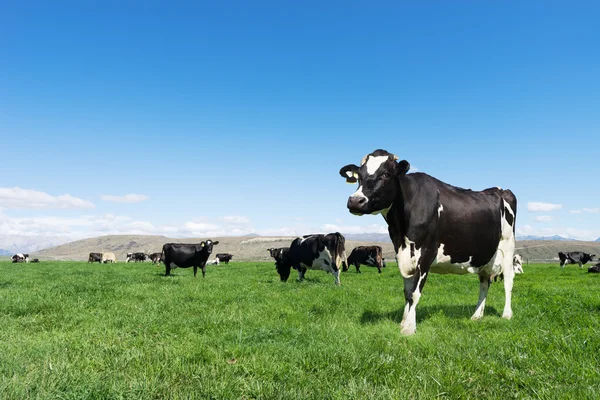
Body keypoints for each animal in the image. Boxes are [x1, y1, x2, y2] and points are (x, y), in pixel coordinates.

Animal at [340, 149, 516, 334]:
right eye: (359, 176)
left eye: (386, 174)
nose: (355, 201)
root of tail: (499, 189)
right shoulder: (401, 253)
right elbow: (407, 292)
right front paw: (404, 322)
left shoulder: (426, 253)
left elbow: (414, 293)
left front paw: (409, 328)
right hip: (485, 254)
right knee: (484, 281)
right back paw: (477, 315)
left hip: (508, 246)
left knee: (508, 280)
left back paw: (506, 314)